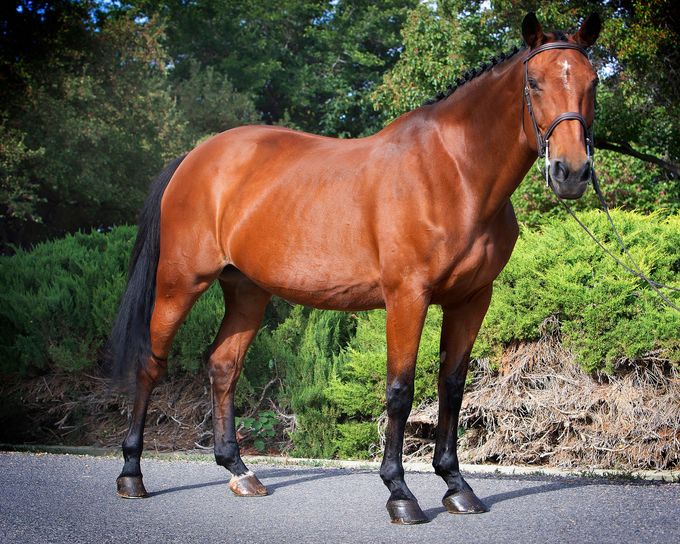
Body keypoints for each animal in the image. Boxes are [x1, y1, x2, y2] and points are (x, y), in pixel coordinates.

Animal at [110, 12, 601, 524]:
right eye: (535, 82)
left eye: (594, 81)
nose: (571, 172)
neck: (454, 173)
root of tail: (194, 158)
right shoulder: (407, 297)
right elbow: (400, 390)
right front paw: (400, 493)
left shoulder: (471, 299)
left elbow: (452, 386)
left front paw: (456, 486)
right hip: (180, 283)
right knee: (150, 364)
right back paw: (131, 475)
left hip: (247, 290)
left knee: (224, 365)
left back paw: (240, 472)